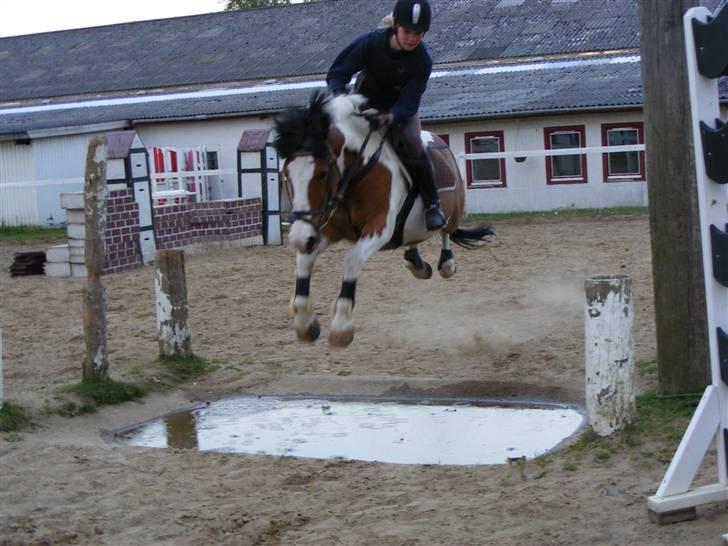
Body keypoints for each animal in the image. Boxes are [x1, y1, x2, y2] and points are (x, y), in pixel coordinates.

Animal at [272, 89, 494, 344]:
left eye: (322, 173)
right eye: (285, 173)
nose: (299, 238)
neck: (356, 175)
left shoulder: (377, 229)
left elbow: (352, 260)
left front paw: (341, 325)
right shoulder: (324, 231)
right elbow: (304, 261)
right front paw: (305, 322)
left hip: (452, 213)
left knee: (446, 230)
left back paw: (445, 260)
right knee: (415, 239)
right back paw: (415, 261)